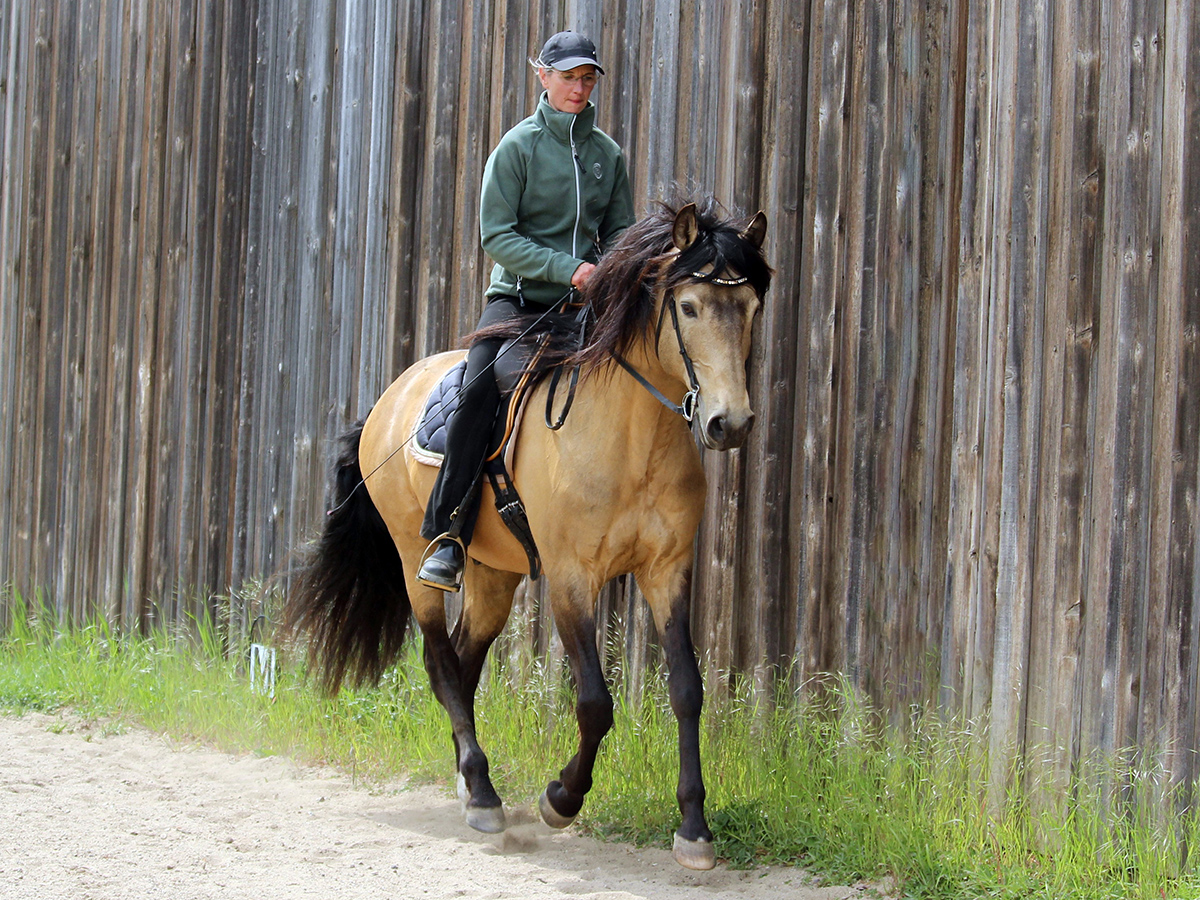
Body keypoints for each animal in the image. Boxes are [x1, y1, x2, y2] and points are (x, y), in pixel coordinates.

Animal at [286, 199, 771, 870]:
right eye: (690, 306)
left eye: (749, 306)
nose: (730, 423)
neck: (631, 436)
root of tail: (390, 398)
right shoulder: (570, 578)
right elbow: (594, 703)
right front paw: (560, 799)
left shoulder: (667, 571)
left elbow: (687, 691)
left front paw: (694, 829)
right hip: (417, 563)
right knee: (441, 662)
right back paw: (484, 796)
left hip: (493, 576)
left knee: (462, 664)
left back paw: (470, 782)